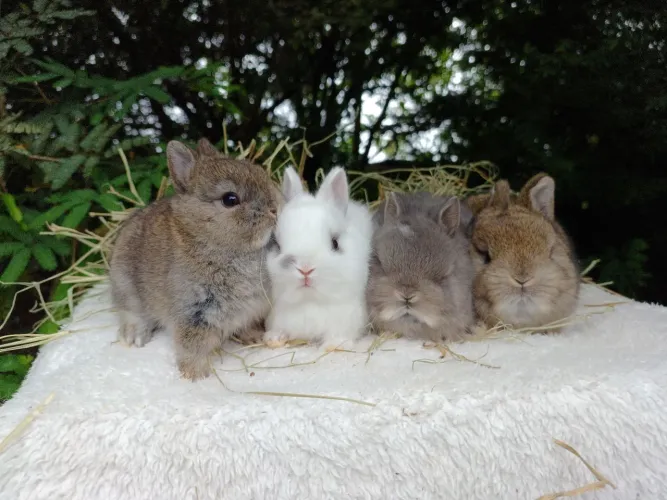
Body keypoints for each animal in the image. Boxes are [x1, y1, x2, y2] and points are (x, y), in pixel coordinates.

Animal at [109, 138, 282, 380]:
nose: (274, 210)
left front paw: (255, 337)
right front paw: (195, 376)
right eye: (230, 199)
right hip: (125, 283)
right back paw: (135, 337)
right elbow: (192, 348)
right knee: (131, 312)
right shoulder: (194, 313)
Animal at [263, 166, 373, 350]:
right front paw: (274, 339)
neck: (310, 302)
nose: (305, 268)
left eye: (335, 243)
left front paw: (335, 345)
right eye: (277, 245)